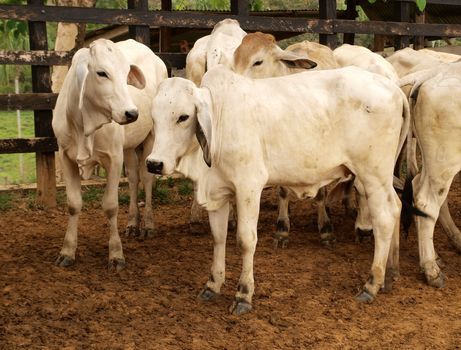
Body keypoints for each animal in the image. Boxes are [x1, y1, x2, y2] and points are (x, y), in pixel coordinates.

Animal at [53, 38, 167, 270]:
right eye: (101, 73)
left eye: (126, 74)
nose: (131, 113)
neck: (84, 126)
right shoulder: (66, 157)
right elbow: (73, 204)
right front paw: (67, 251)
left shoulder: (113, 159)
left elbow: (111, 206)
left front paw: (116, 254)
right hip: (129, 147)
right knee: (133, 178)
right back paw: (132, 223)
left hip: (151, 138)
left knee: (147, 178)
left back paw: (148, 225)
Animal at [146, 65, 408, 314]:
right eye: (153, 117)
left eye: (183, 117)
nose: (154, 163)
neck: (220, 119)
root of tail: (394, 88)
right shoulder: (218, 193)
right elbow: (218, 238)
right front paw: (212, 285)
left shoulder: (249, 186)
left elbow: (245, 240)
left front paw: (243, 294)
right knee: (397, 206)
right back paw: (391, 273)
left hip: (373, 174)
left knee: (384, 218)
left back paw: (372, 283)